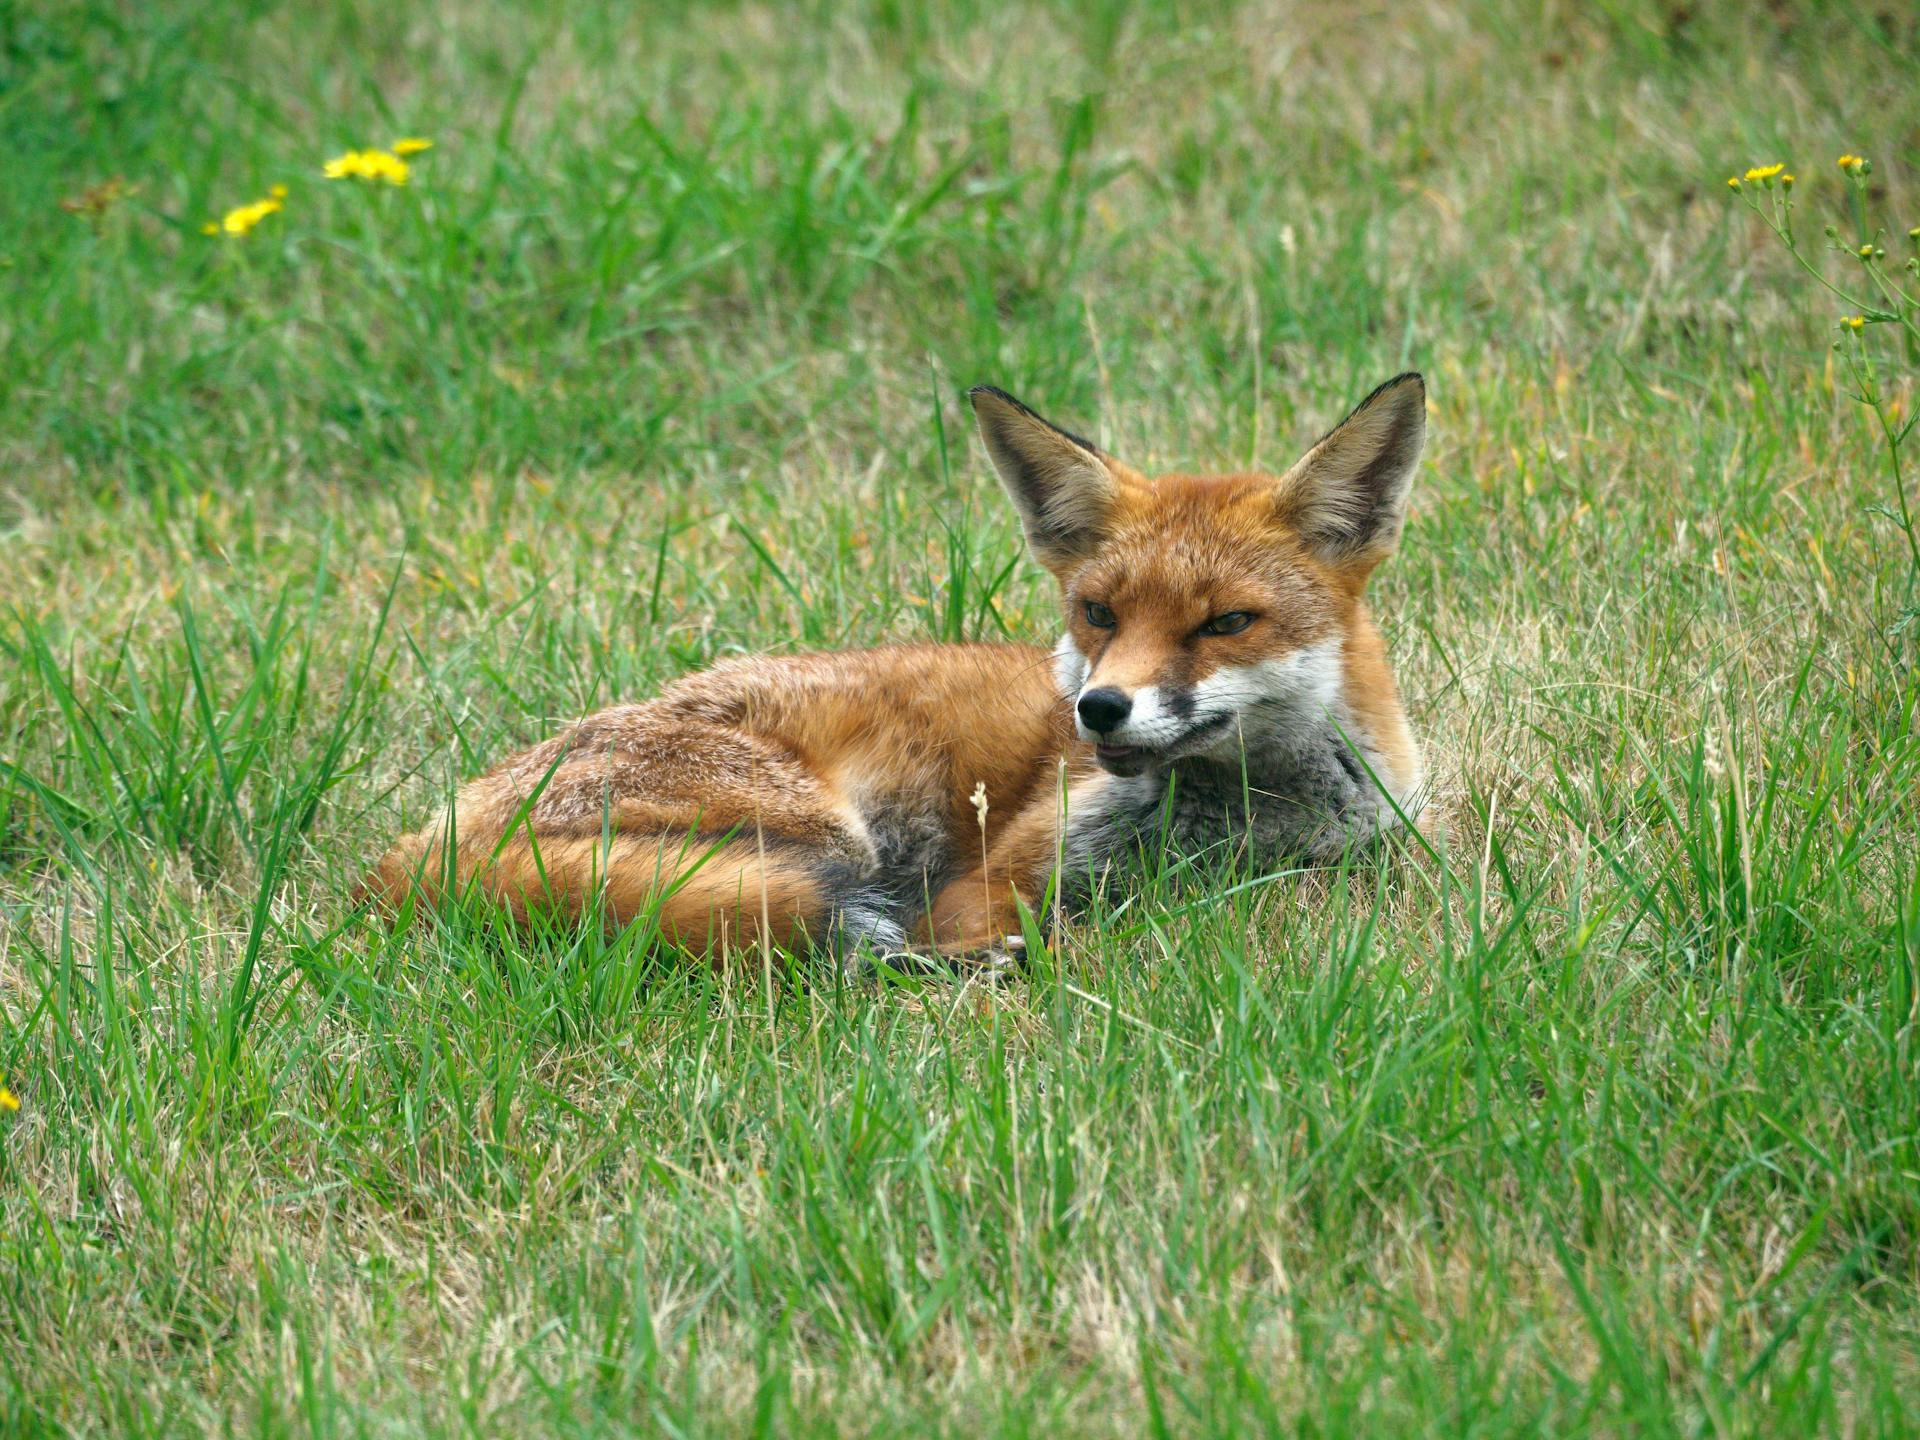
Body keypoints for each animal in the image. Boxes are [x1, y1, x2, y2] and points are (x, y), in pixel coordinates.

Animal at [366, 372, 1436, 963]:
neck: (1251, 825)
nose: (1098, 709)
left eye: (1226, 623)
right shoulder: (998, 877)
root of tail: (410, 852)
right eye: (1099, 614)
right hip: (826, 836)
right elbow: (1001, 925)